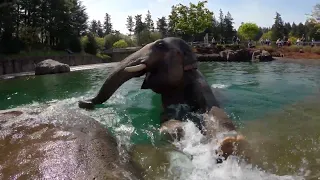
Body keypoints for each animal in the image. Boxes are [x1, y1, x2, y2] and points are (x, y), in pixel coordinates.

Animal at [79, 37, 251, 162]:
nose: (83, 103)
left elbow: (211, 109)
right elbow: (166, 117)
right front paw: (177, 129)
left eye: (160, 45)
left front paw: (229, 142)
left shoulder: (200, 86)